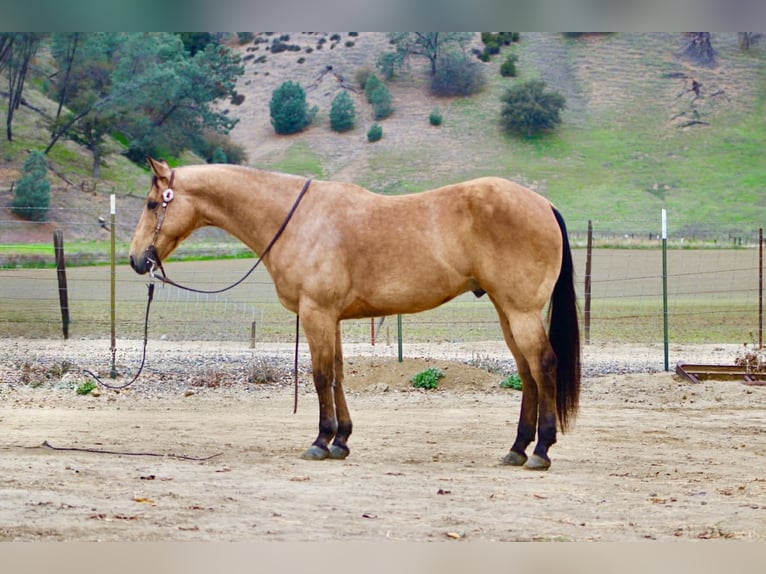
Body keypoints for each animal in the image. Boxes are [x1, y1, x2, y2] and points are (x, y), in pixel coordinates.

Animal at [129, 158, 581, 470]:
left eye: (152, 204)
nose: (136, 260)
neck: (297, 220)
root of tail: (544, 205)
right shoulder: (332, 318)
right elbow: (338, 375)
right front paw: (341, 441)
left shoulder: (316, 313)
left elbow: (320, 376)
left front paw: (320, 441)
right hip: (506, 312)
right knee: (526, 373)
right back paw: (517, 448)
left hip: (520, 311)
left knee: (543, 365)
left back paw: (540, 449)